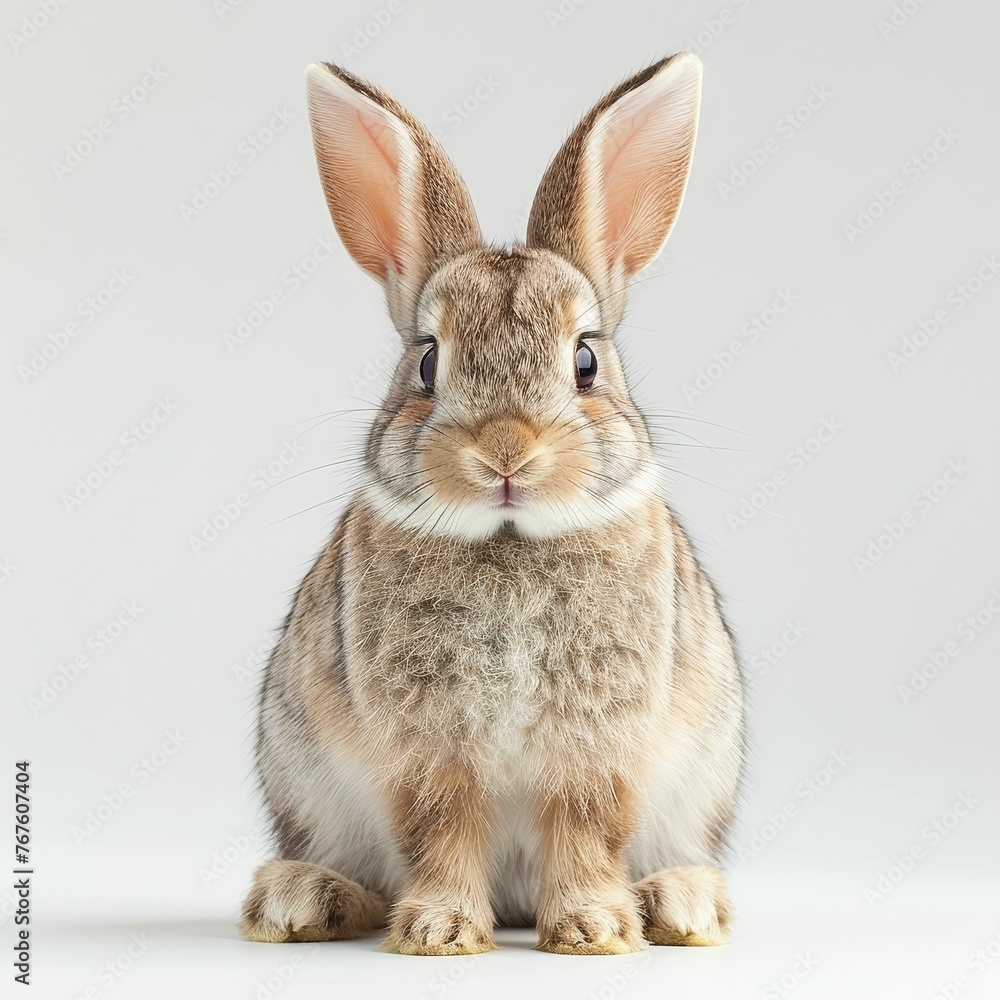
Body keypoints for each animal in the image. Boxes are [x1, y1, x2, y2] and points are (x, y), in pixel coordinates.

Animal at [239, 52, 746, 956]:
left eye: (585, 362)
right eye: (425, 362)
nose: (506, 452)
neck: (510, 539)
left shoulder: (596, 745)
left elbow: (584, 827)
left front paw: (590, 928)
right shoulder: (426, 750)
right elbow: (441, 827)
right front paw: (440, 931)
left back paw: (679, 904)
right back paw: (303, 899)